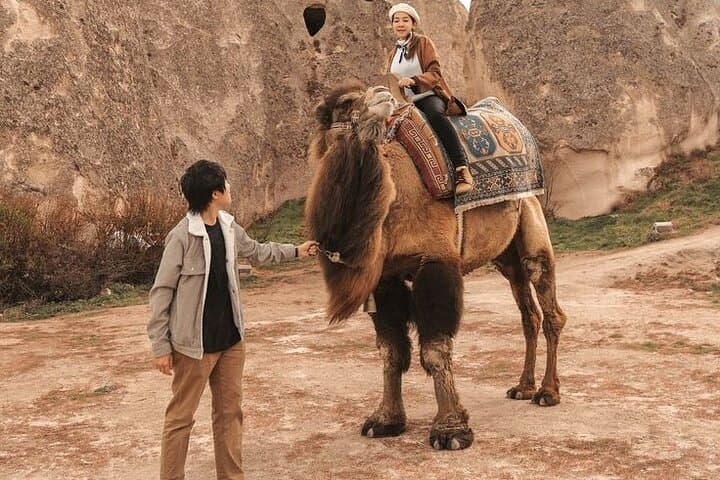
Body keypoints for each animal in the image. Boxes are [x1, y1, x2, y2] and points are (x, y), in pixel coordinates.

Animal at [305, 82, 567, 450]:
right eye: (345, 103)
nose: (383, 93)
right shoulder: (385, 277)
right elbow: (391, 352)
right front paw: (384, 421)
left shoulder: (435, 260)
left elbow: (435, 349)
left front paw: (451, 431)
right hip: (506, 255)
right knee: (528, 313)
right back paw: (523, 386)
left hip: (530, 215)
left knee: (547, 296)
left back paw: (548, 392)